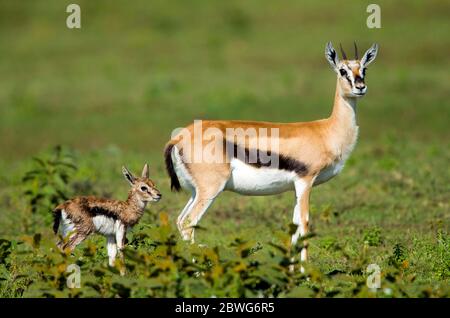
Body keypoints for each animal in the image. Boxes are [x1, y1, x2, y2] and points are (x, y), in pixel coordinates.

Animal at [163, 41, 378, 268]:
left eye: (364, 69)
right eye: (342, 70)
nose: (360, 87)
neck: (326, 131)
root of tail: (179, 137)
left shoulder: (296, 187)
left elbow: (294, 227)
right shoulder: (306, 181)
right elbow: (305, 224)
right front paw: (305, 270)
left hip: (195, 192)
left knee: (180, 221)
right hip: (211, 190)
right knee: (189, 223)